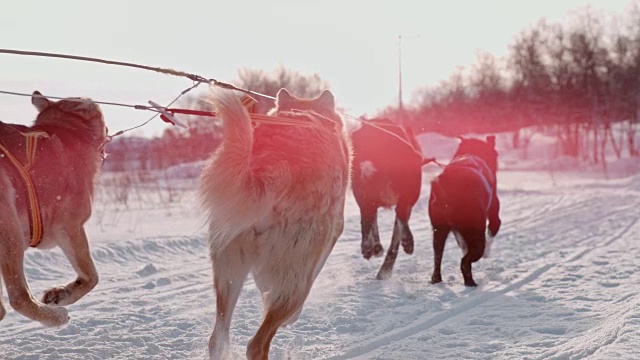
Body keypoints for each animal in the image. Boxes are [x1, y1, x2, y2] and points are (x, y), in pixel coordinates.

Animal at [0, 92, 107, 326]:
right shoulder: (70, 227)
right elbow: (92, 277)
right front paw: (63, 294)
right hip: (10, 231)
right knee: (18, 297)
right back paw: (56, 317)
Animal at [200, 88, 350, 360]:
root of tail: (273, 168)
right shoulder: (328, 240)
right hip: (294, 277)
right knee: (257, 344)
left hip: (228, 272)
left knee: (217, 338)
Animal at [430, 136, 500, 286]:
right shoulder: (494, 217)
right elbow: (491, 233)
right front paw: (487, 253)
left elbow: (462, 245)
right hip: (476, 232)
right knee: (466, 261)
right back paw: (470, 282)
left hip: (438, 231)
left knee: (437, 256)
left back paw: (436, 279)